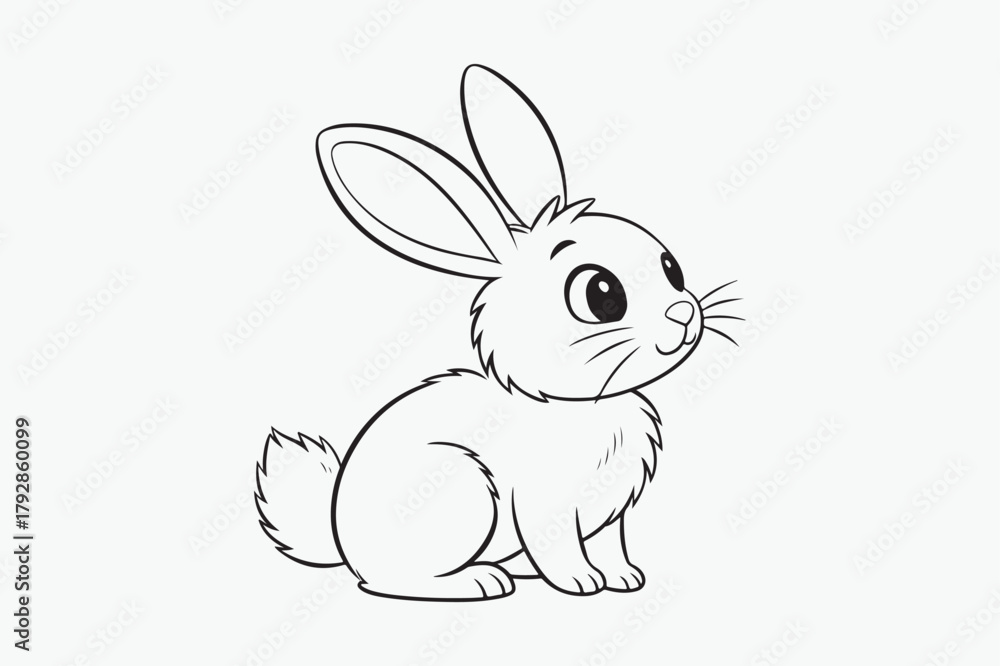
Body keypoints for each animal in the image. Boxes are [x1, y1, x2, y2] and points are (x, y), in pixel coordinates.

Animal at [255, 64, 739, 601]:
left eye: (671, 267)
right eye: (600, 293)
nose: (684, 314)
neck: (579, 407)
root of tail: (342, 540)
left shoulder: (610, 515)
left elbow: (612, 545)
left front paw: (625, 578)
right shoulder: (544, 505)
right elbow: (559, 547)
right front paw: (582, 583)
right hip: (462, 492)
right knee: (396, 580)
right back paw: (481, 580)